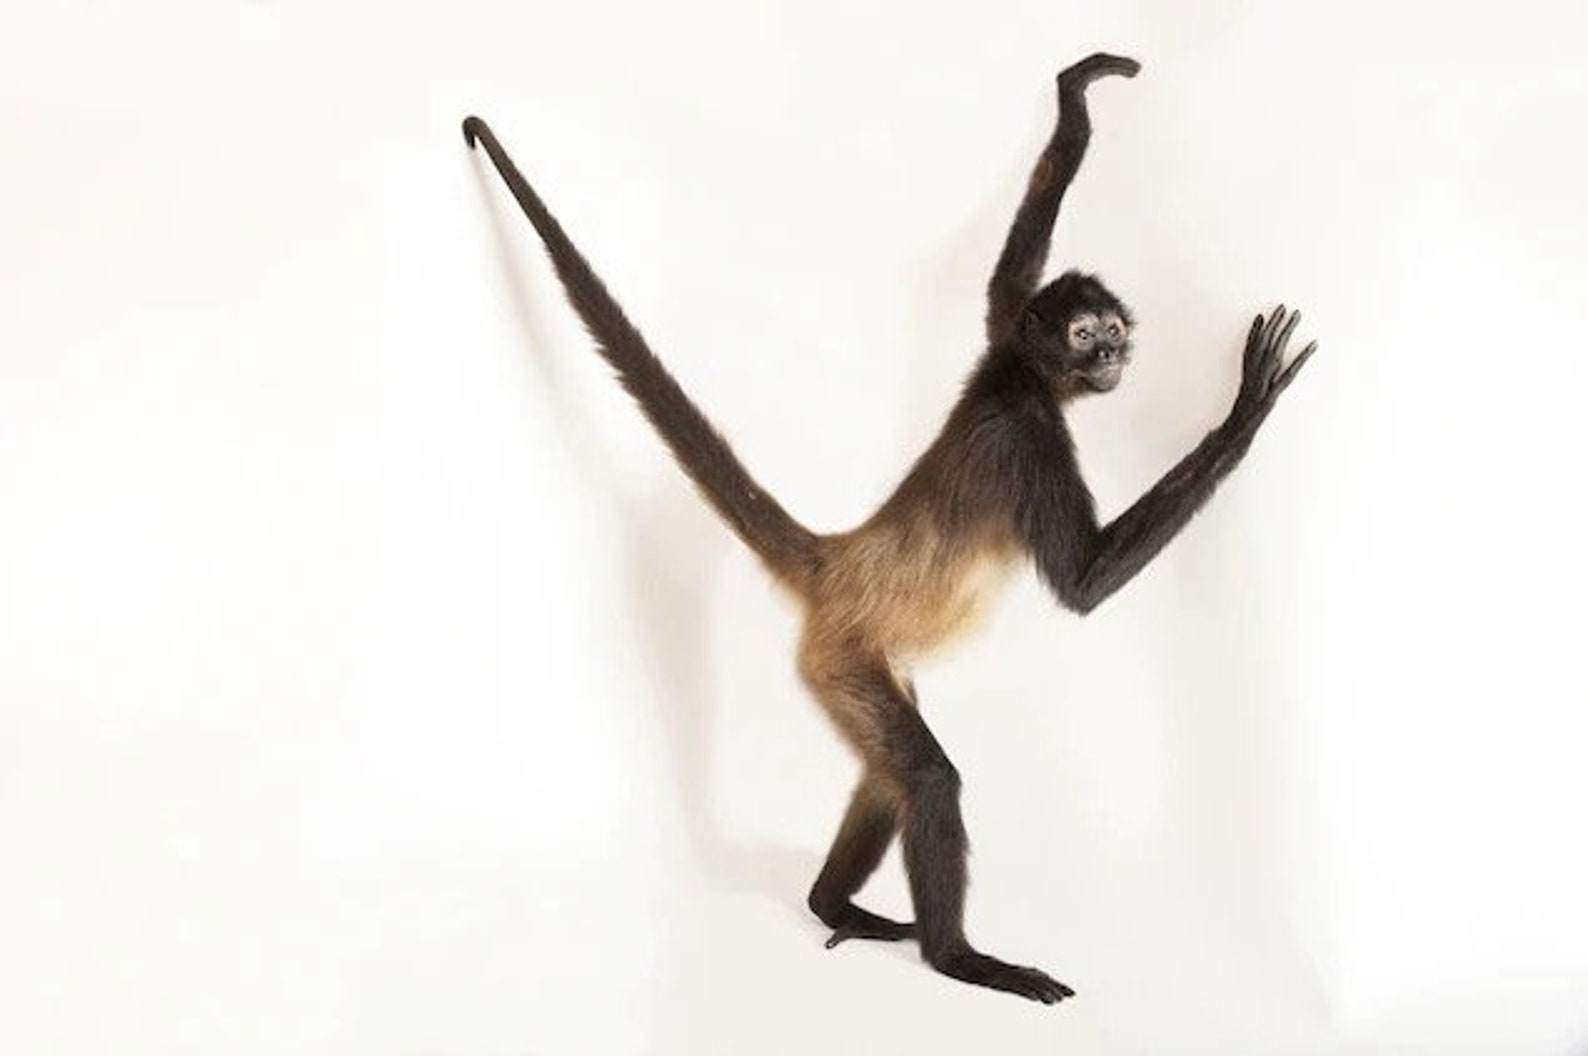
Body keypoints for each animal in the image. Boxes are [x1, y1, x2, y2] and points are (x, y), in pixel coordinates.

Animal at [462, 51, 1315, 1005]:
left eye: (1109, 330)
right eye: (1085, 335)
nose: (1112, 355)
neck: (1019, 379)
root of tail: (837, 558)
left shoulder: (1000, 339)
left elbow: (1003, 285)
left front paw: (1076, 101)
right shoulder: (1030, 434)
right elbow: (1082, 583)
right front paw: (1244, 407)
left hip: (870, 669)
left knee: (885, 772)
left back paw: (833, 904)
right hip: (838, 657)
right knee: (927, 776)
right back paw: (958, 957)